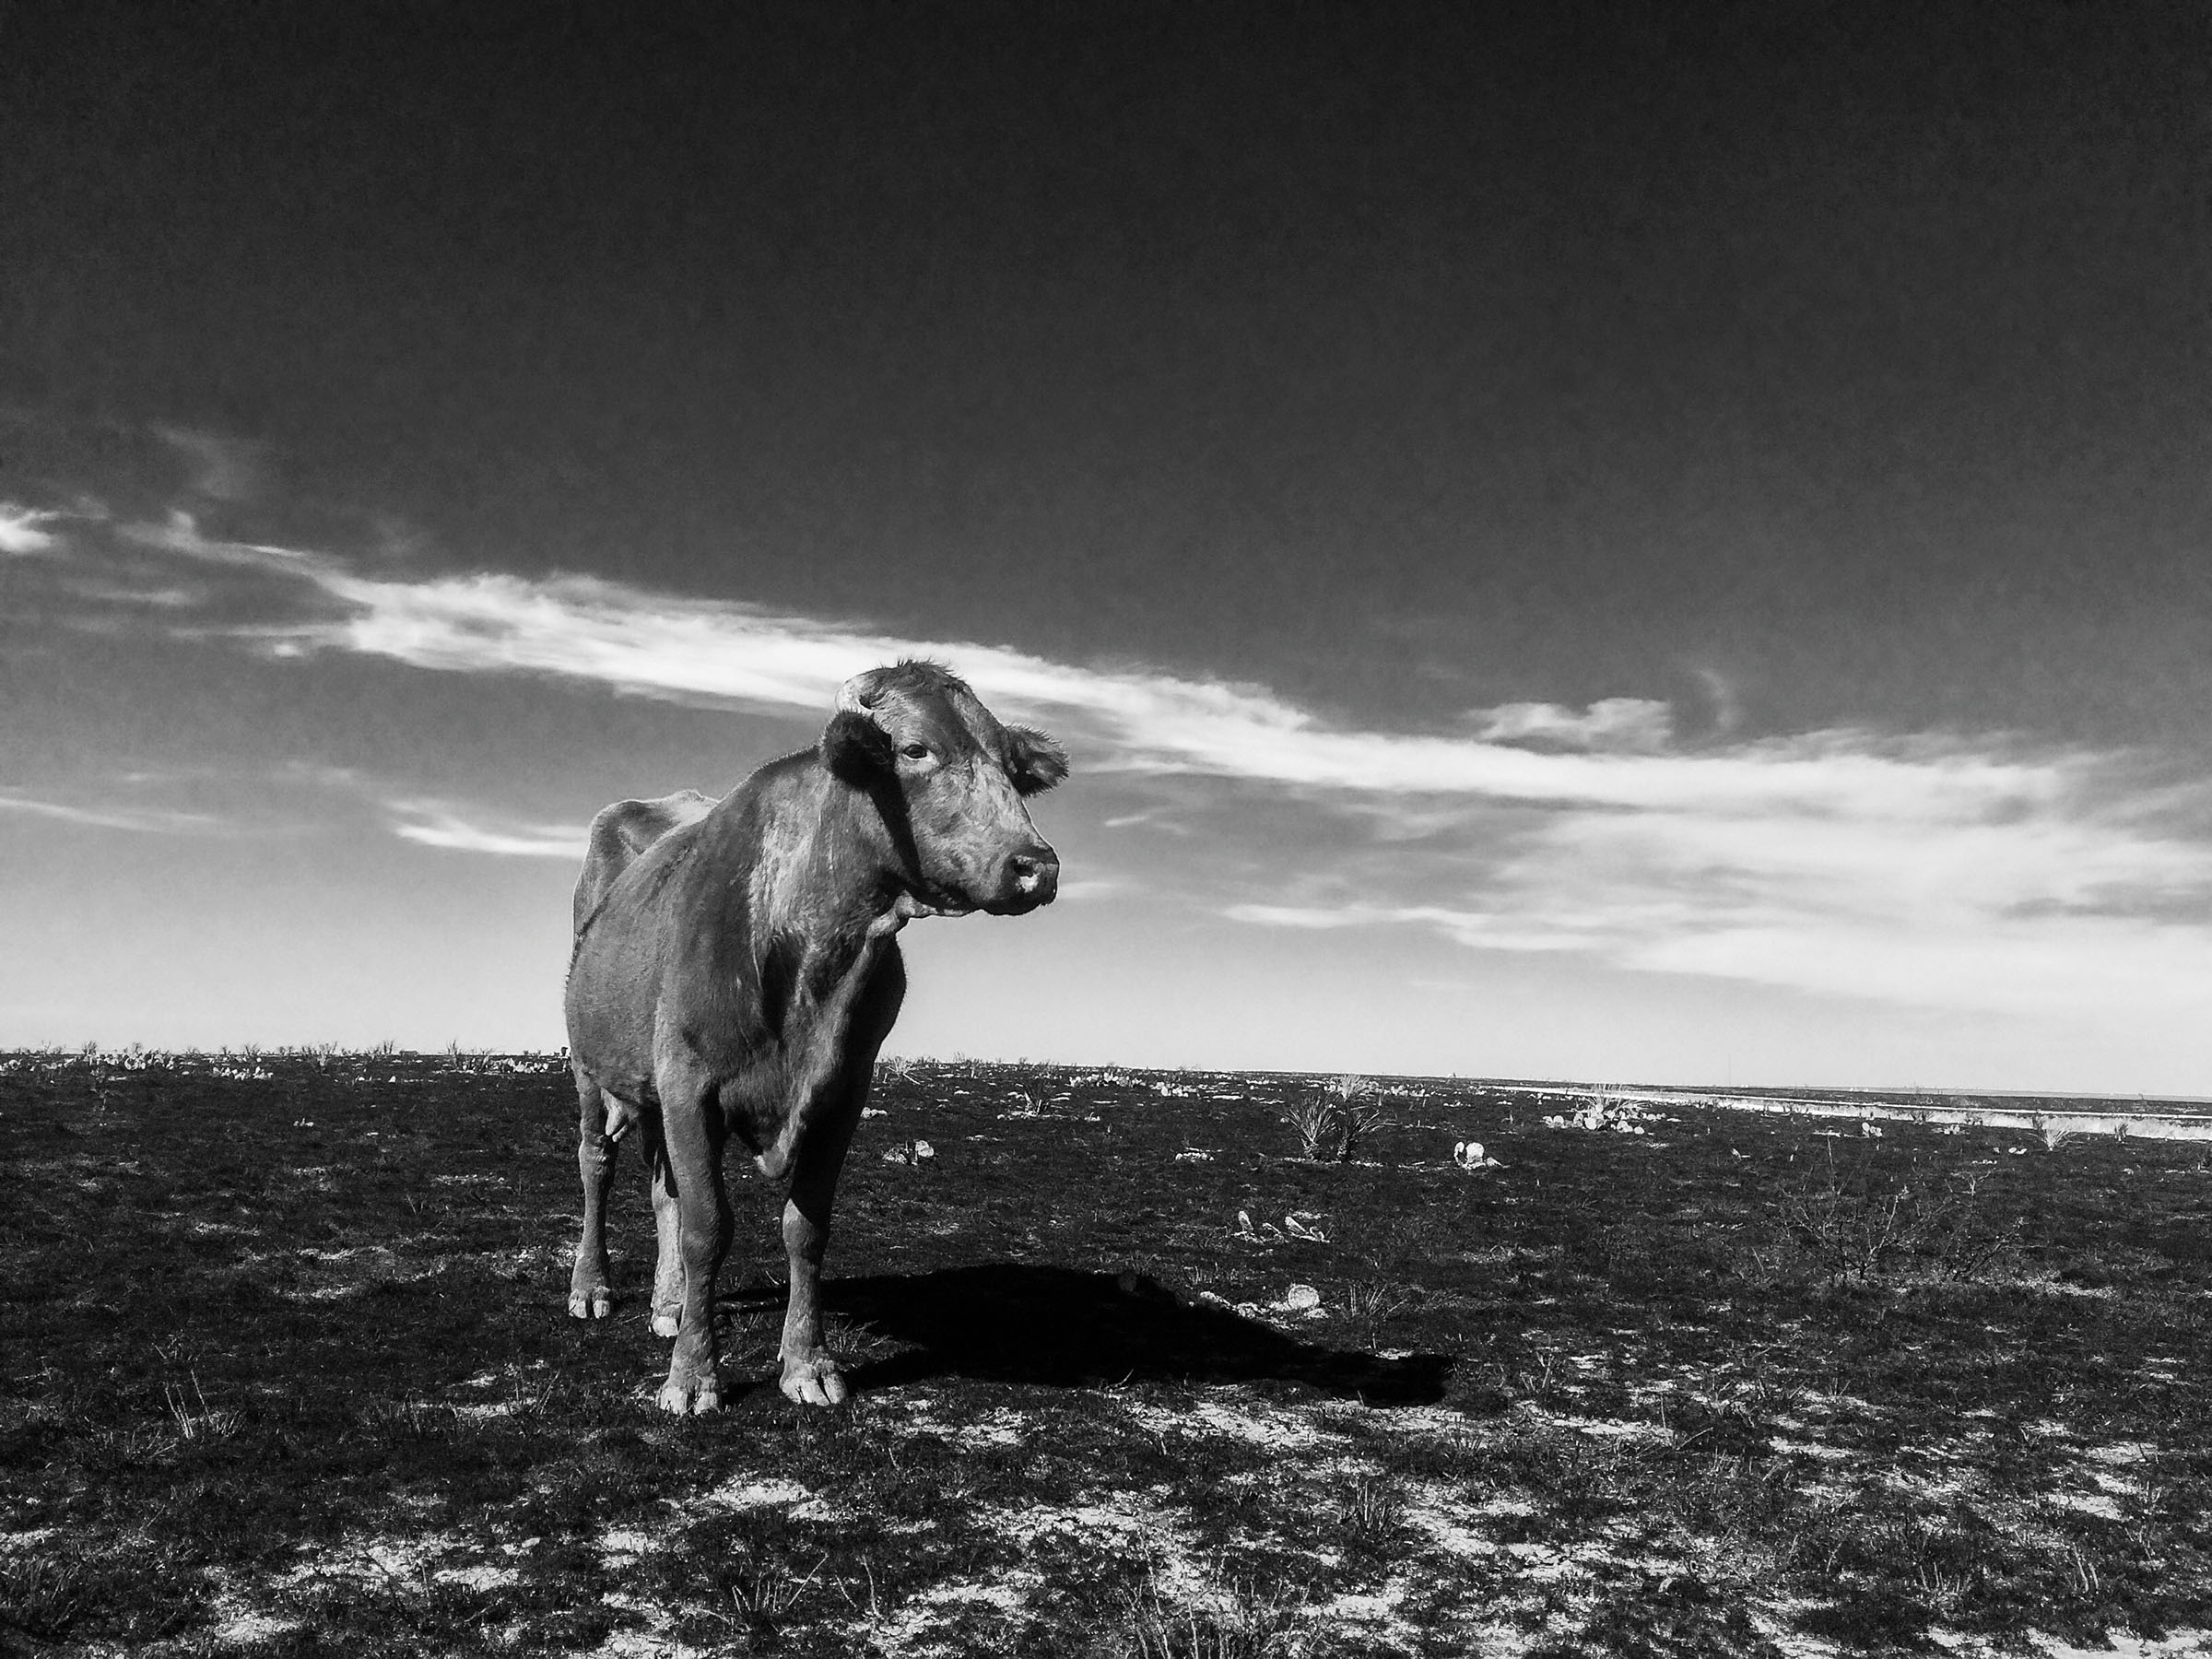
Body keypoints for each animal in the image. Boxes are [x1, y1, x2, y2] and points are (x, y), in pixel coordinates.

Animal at [561, 664, 1062, 1416]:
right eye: (915, 749)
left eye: (1008, 763)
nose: (1036, 865)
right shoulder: (689, 1085)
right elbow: (708, 1228)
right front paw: (693, 1377)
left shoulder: (841, 1094)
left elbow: (806, 1228)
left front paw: (807, 1362)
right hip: (591, 1070)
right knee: (597, 1165)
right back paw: (591, 1288)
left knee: (662, 1191)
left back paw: (669, 1306)